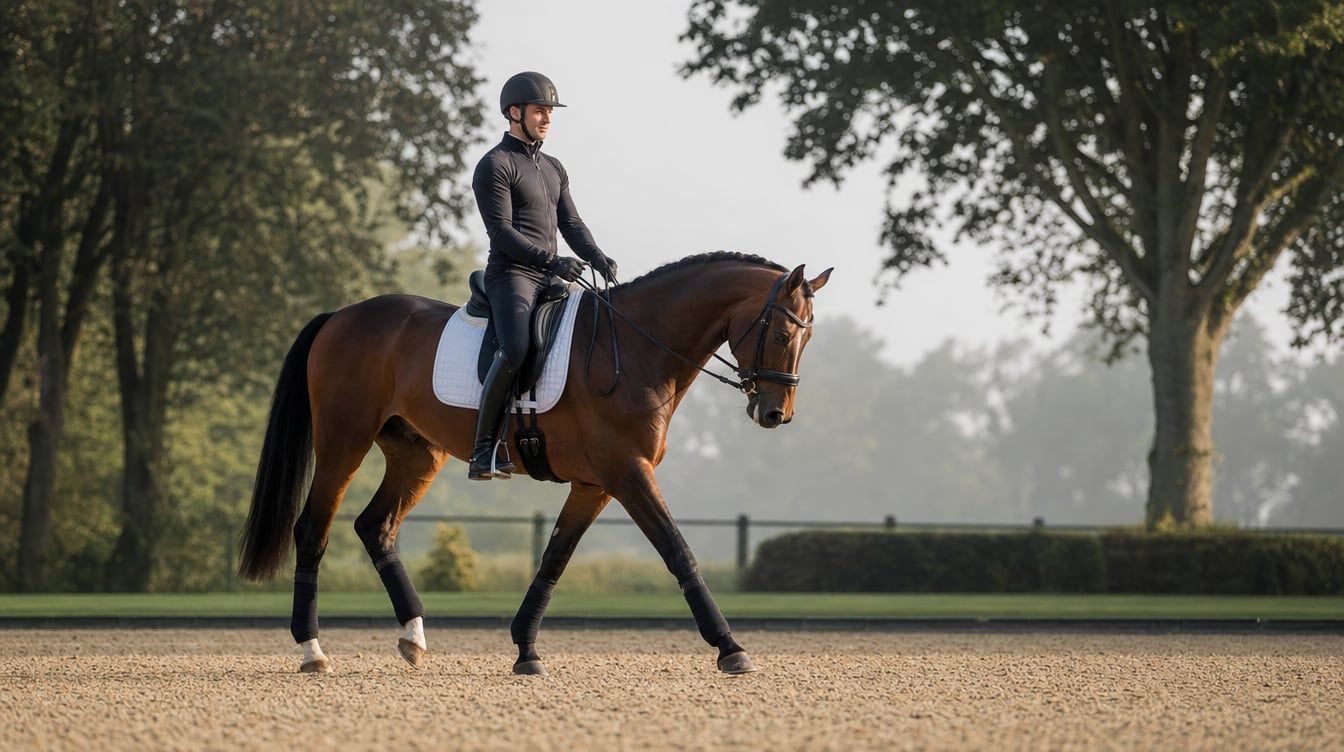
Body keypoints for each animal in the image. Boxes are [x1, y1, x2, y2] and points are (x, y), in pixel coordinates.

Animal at [237, 251, 832, 675]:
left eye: (807, 337)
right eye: (783, 332)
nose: (776, 413)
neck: (634, 348)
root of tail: (342, 315)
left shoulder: (595, 485)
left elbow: (554, 560)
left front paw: (526, 649)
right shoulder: (628, 473)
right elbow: (676, 550)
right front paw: (730, 647)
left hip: (415, 454)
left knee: (375, 526)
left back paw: (413, 636)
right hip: (344, 442)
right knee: (313, 530)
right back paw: (313, 651)